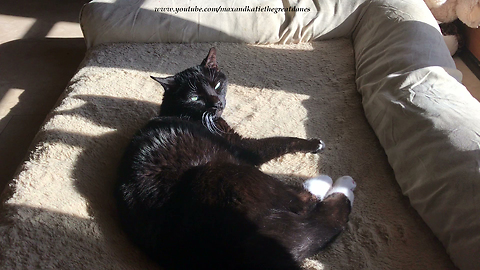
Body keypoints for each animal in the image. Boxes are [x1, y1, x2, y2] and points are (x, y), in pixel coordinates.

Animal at [116, 47, 356, 268]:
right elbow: (279, 142)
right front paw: (314, 143)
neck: (182, 111)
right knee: (310, 207)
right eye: (195, 97)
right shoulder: (243, 147)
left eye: (217, 85)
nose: (217, 103)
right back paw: (336, 184)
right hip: (224, 173)